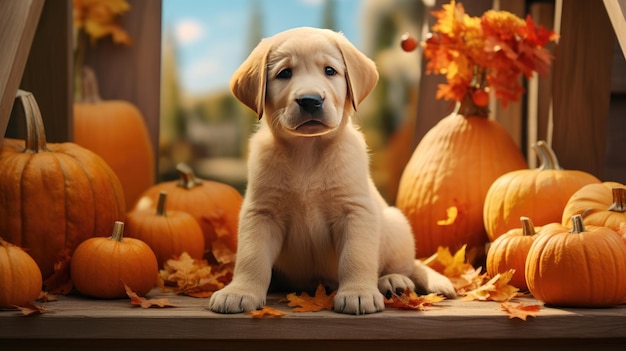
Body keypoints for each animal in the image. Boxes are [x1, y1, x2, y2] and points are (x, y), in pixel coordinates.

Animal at [210, 26, 454, 314]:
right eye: (284, 73)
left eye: (330, 71)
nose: (310, 100)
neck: (307, 152)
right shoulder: (261, 212)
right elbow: (251, 258)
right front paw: (239, 291)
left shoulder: (355, 211)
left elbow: (356, 257)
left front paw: (358, 293)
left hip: (396, 226)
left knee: (406, 265)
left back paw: (393, 280)